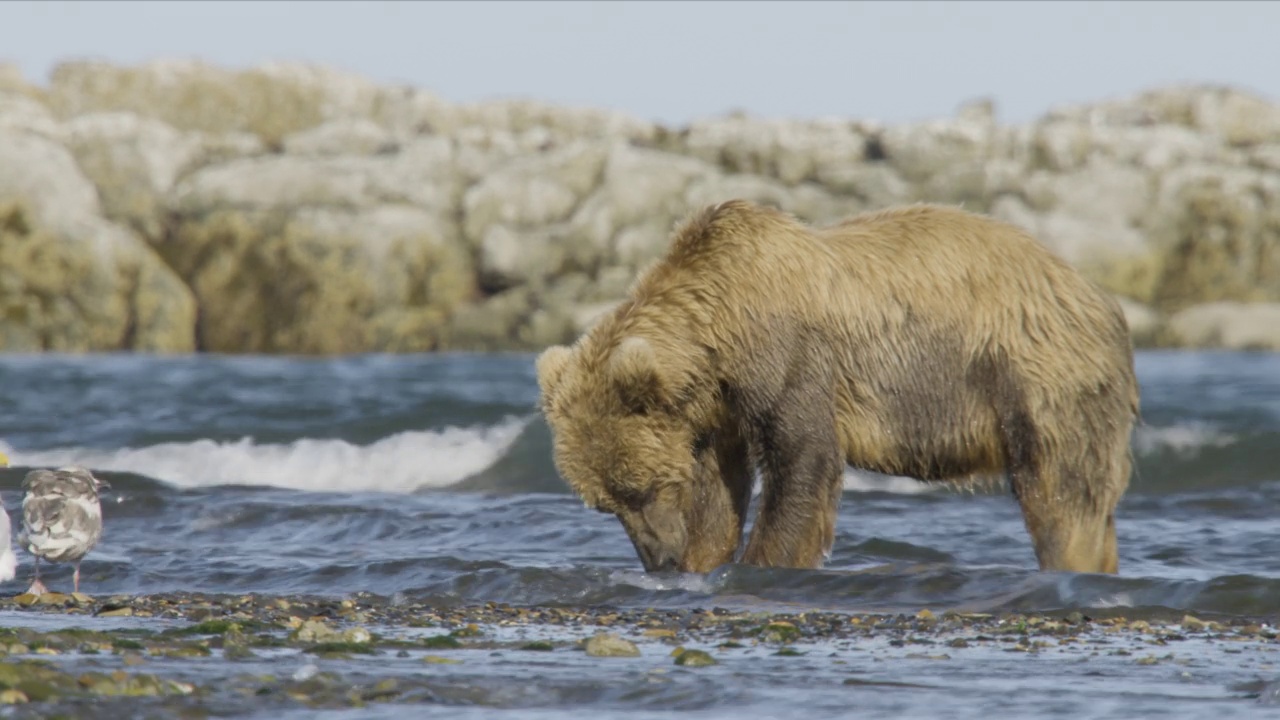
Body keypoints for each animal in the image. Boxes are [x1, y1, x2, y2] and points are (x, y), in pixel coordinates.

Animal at [535, 198, 1136, 573]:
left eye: (643, 487)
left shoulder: (788, 359)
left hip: (1036, 375)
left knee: (1062, 493)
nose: (659, 560)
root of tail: (1098, 296)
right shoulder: (715, 413)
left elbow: (802, 460)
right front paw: (705, 560)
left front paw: (766, 560)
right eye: (605, 504)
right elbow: (719, 494)